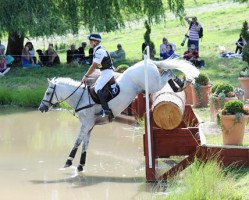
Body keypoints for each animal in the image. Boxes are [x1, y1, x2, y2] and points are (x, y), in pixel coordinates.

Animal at [38, 58, 199, 172]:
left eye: (47, 93)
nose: (41, 108)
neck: (80, 98)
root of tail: (149, 61)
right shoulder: (89, 125)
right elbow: (85, 143)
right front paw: (80, 165)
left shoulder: (87, 123)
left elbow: (77, 141)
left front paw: (68, 161)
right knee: (167, 71)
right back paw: (179, 85)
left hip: (153, 85)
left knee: (168, 72)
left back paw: (180, 84)